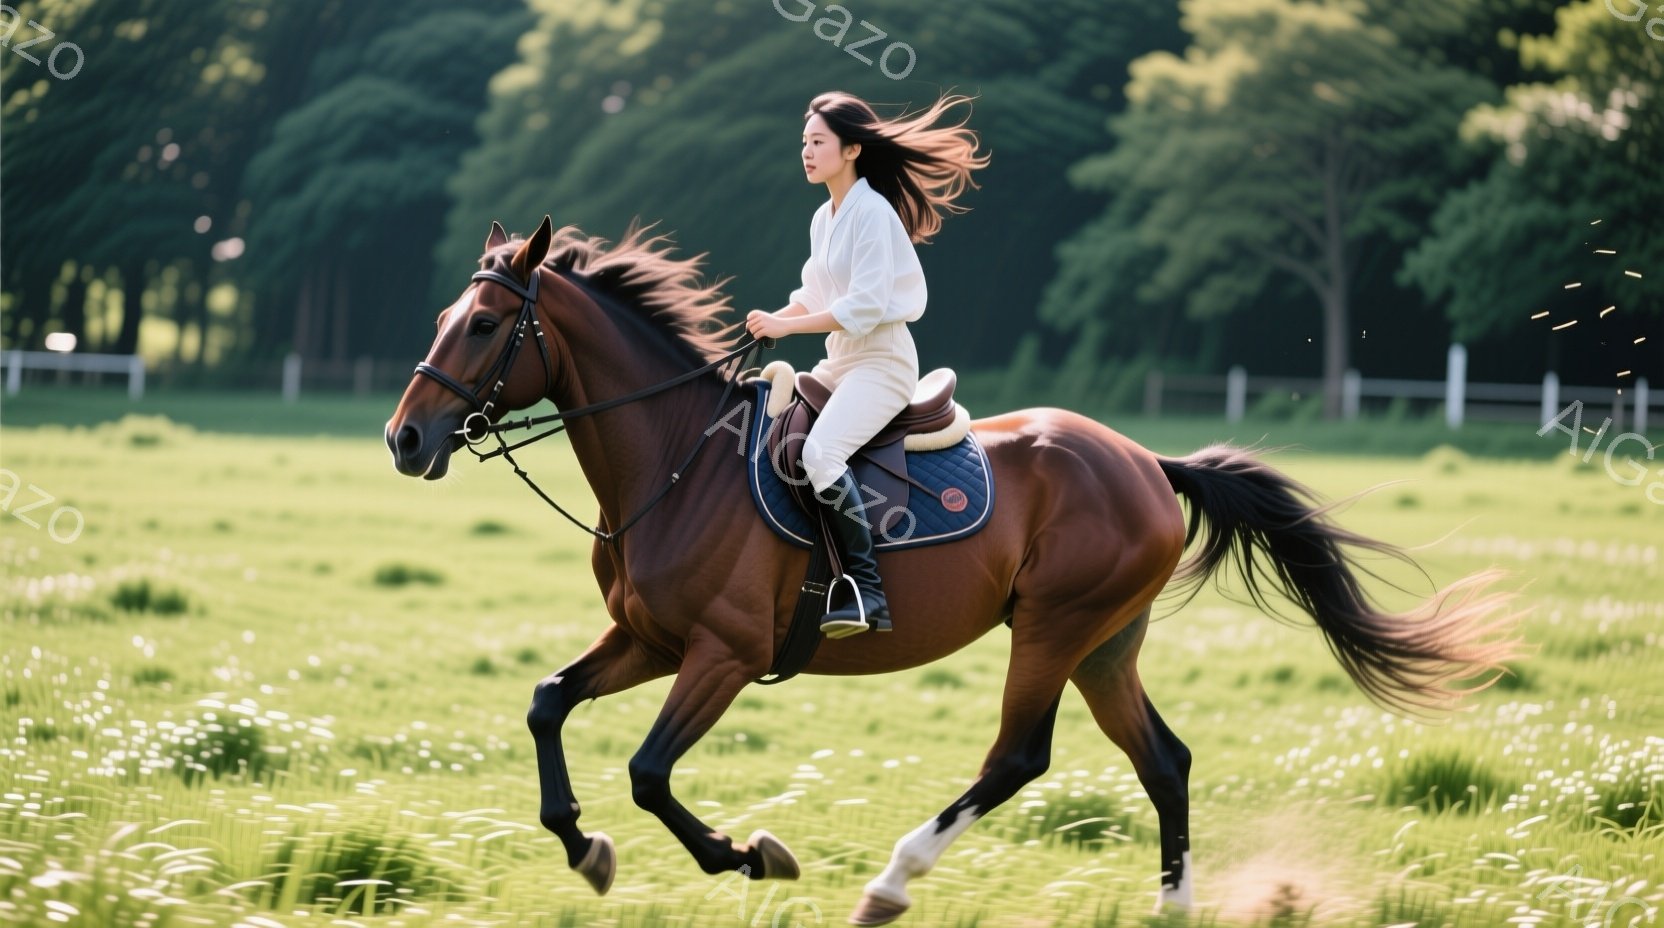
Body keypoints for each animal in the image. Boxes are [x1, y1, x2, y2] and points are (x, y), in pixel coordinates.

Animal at [385, 217, 1520, 926]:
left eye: (484, 324)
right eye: (440, 318)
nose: (404, 439)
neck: (671, 459)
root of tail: (1146, 461)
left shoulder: (721, 655)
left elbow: (650, 773)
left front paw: (747, 854)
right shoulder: (648, 639)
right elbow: (546, 703)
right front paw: (583, 848)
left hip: (1054, 628)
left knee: (1018, 757)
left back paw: (891, 884)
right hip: (1106, 642)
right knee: (1164, 761)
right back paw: (1171, 906)